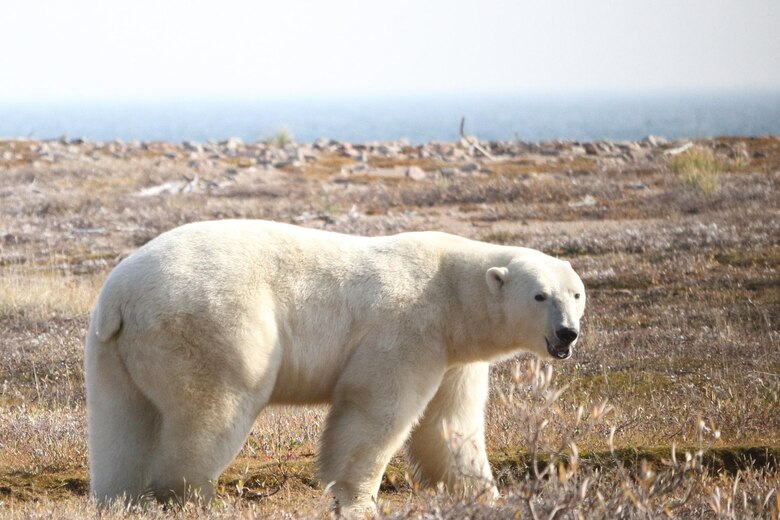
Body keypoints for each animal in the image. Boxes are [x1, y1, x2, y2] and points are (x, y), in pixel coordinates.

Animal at [85, 219, 586, 515]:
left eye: (576, 293)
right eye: (540, 295)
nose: (567, 333)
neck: (451, 293)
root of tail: (121, 297)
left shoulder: (454, 356)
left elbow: (449, 425)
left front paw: (485, 496)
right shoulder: (407, 329)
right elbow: (376, 412)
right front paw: (358, 501)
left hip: (113, 352)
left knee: (121, 426)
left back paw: (119, 500)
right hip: (211, 326)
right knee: (211, 410)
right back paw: (194, 498)